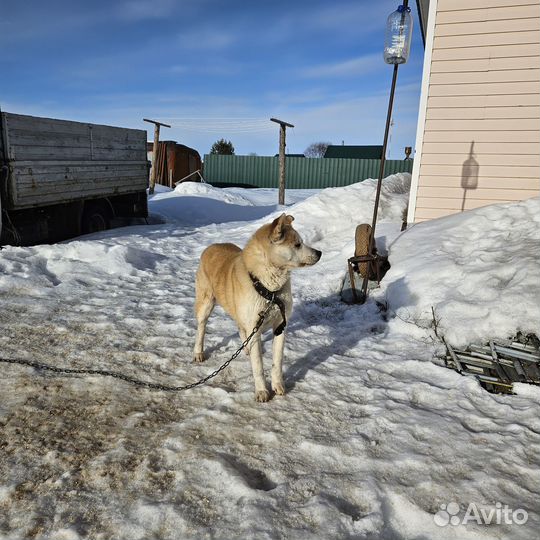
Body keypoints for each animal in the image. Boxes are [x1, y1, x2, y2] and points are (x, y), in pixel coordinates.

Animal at [193, 214, 320, 400]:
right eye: (297, 244)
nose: (319, 253)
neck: (270, 291)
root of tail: (211, 246)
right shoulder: (254, 324)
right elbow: (258, 366)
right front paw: (262, 391)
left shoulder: (280, 326)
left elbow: (277, 361)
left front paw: (278, 385)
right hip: (206, 304)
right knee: (201, 328)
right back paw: (198, 352)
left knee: (241, 330)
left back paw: (245, 349)